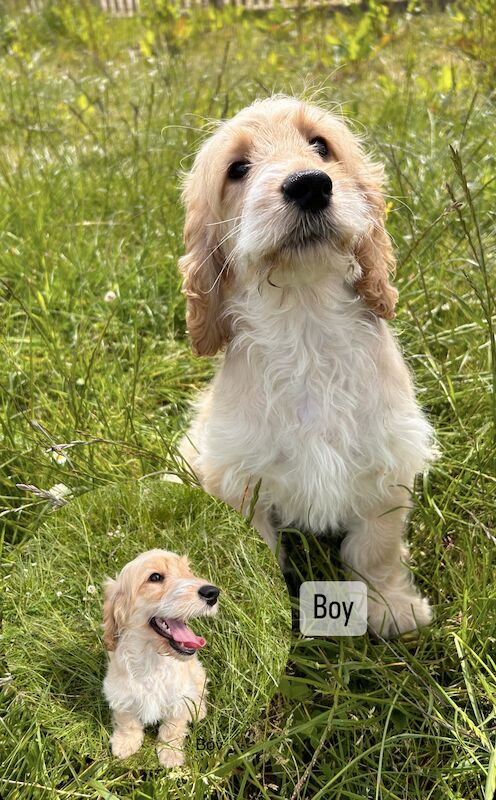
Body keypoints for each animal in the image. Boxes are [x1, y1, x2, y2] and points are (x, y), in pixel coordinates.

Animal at [102, 548, 219, 764]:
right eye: (155, 577)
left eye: (188, 572)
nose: (212, 593)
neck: (152, 658)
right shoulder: (120, 695)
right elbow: (127, 722)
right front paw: (125, 743)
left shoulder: (180, 698)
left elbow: (173, 728)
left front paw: (170, 753)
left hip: (197, 672)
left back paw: (199, 711)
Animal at [177, 97, 434, 640]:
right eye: (237, 169)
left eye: (320, 146)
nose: (310, 184)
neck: (304, 317)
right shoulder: (240, 481)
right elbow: (253, 554)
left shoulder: (386, 464)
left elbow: (375, 548)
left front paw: (391, 607)